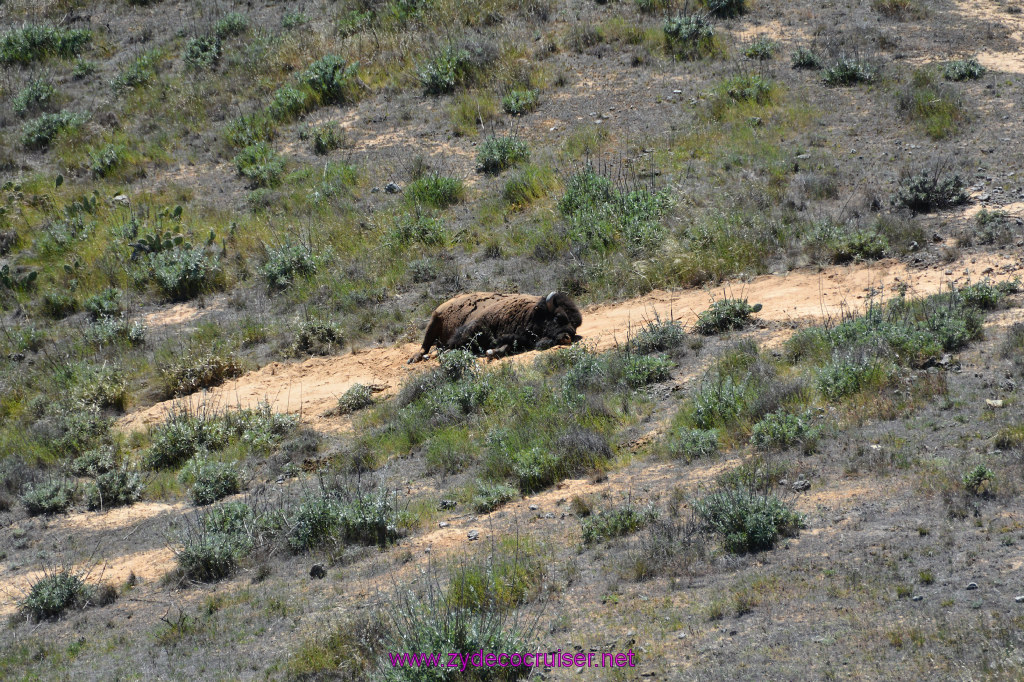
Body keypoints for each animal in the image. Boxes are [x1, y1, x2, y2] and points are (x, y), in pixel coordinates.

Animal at [407, 290, 585, 364]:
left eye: (576, 325)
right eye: (558, 317)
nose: (567, 337)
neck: (530, 312)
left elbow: (503, 348)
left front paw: (491, 352)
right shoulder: (474, 327)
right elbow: (457, 344)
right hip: (433, 323)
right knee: (425, 345)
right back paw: (417, 357)